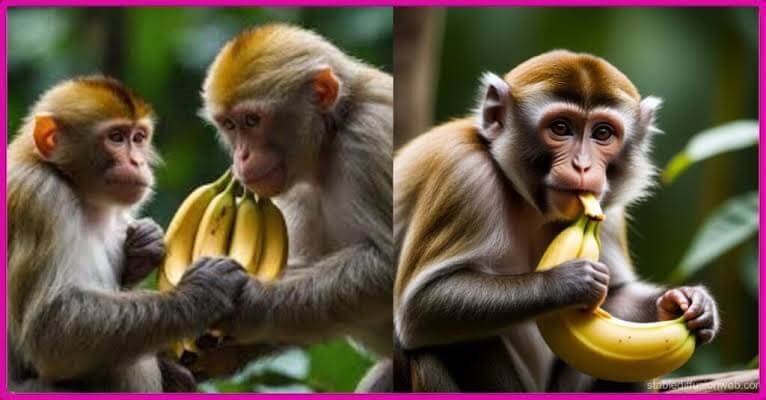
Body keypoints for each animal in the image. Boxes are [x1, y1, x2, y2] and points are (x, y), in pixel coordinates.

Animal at [7, 76, 249, 392]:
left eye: (138, 138)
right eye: (116, 137)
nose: (138, 162)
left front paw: (144, 246)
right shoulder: (41, 196)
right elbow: (49, 331)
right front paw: (200, 291)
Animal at [194, 24, 393, 392]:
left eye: (252, 120)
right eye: (230, 125)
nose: (241, 156)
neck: (332, 138)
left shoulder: (370, 139)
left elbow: (390, 267)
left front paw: (249, 304)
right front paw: (218, 357)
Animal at [392, 50, 720, 392]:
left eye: (603, 133)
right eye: (561, 128)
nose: (583, 165)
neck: (530, 204)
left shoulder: (605, 206)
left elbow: (617, 294)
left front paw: (687, 302)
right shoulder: (464, 174)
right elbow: (421, 308)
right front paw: (568, 283)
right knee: (427, 348)